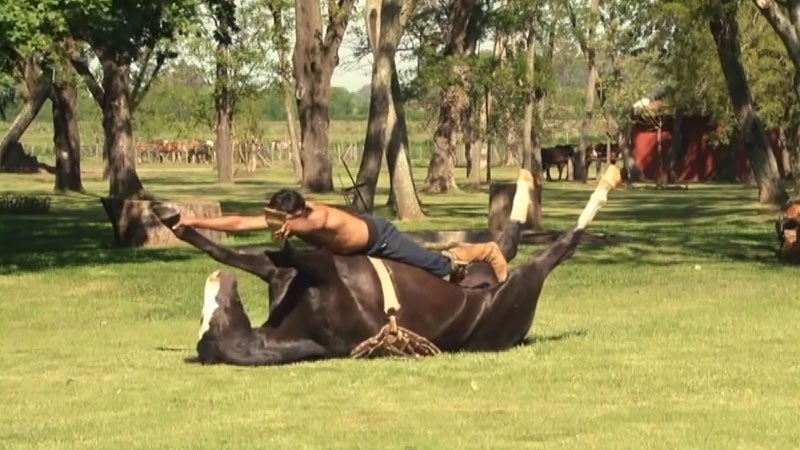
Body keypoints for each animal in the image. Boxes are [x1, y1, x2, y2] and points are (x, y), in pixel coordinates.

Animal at [152, 166, 624, 366]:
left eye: (211, 314)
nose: (217, 285)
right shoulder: (318, 271)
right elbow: (286, 254)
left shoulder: (291, 272)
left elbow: (246, 253)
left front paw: (175, 220)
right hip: (520, 282)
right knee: (552, 247)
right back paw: (601, 182)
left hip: (491, 273)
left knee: (503, 242)